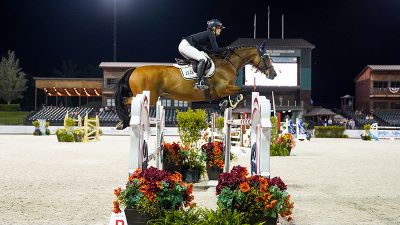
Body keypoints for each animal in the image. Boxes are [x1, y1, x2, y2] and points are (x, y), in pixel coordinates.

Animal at [115, 41, 278, 128]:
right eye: (266, 57)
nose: (274, 75)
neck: (228, 64)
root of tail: (134, 69)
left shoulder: (220, 91)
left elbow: (235, 93)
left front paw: (224, 104)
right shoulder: (222, 88)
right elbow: (243, 90)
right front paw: (231, 102)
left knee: (125, 101)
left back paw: (123, 122)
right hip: (149, 97)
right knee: (126, 101)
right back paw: (124, 121)